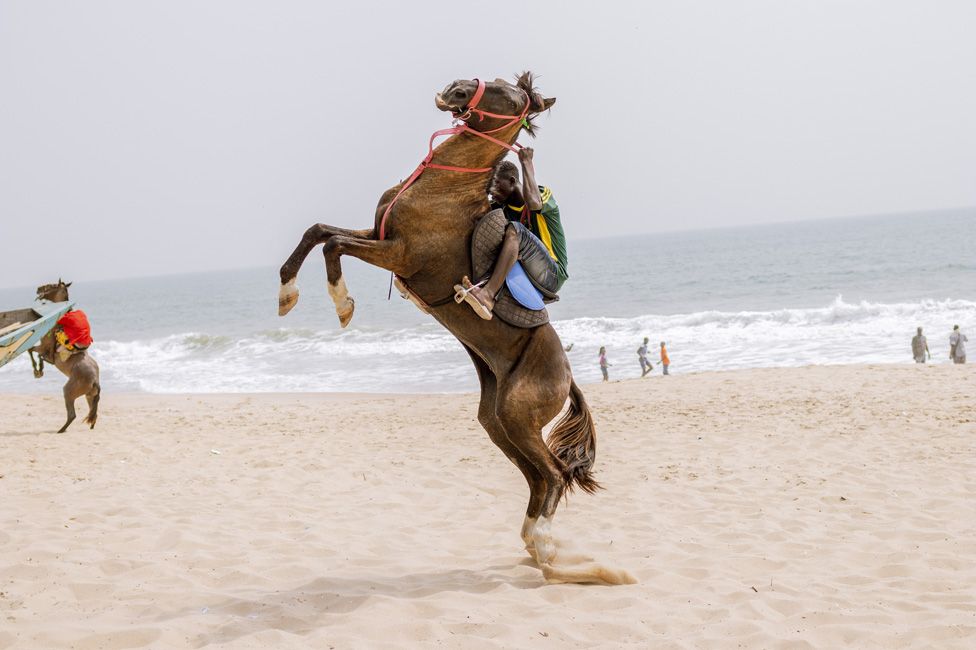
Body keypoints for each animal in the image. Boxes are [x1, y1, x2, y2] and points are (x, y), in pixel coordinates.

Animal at [27, 278, 100, 430]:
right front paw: (40, 369)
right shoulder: (46, 353)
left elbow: (31, 351)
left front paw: (38, 371)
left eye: (52, 285)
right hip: (90, 396)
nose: (38, 289)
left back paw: (60, 431)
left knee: (72, 415)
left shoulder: (43, 348)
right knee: (93, 415)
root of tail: (95, 380)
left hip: (69, 392)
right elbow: (38, 355)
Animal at [278, 72, 636, 584]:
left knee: (552, 474)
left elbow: (333, 245)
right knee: (537, 476)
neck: (442, 188)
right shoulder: (377, 233)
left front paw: (342, 303)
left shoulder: (397, 251)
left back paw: (548, 552)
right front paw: (286, 293)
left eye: (512, 95)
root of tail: (568, 378)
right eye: (501, 80)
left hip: (518, 415)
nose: (457, 88)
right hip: (499, 421)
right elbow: (319, 231)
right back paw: (536, 545)